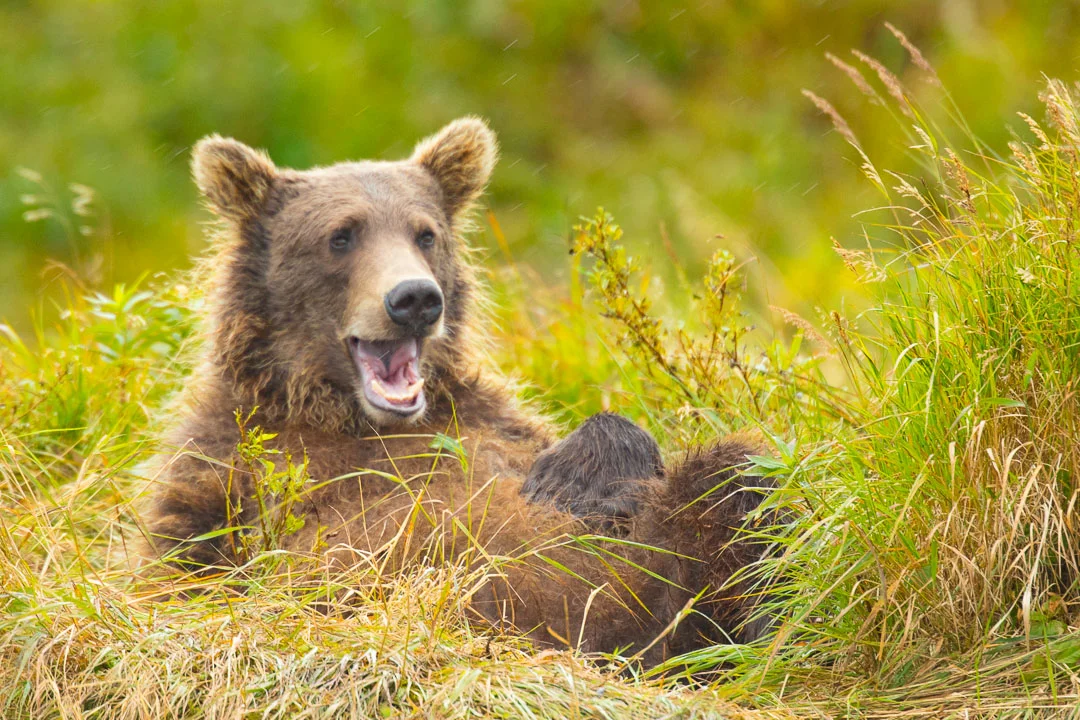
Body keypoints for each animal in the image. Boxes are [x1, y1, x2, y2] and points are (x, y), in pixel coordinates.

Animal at [140, 117, 776, 666]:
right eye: (340, 236)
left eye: (426, 234)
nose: (415, 298)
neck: (348, 415)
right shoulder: (218, 467)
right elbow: (179, 574)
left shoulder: (490, 420)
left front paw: (575, 472)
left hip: (668, 548)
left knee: (739, 480)